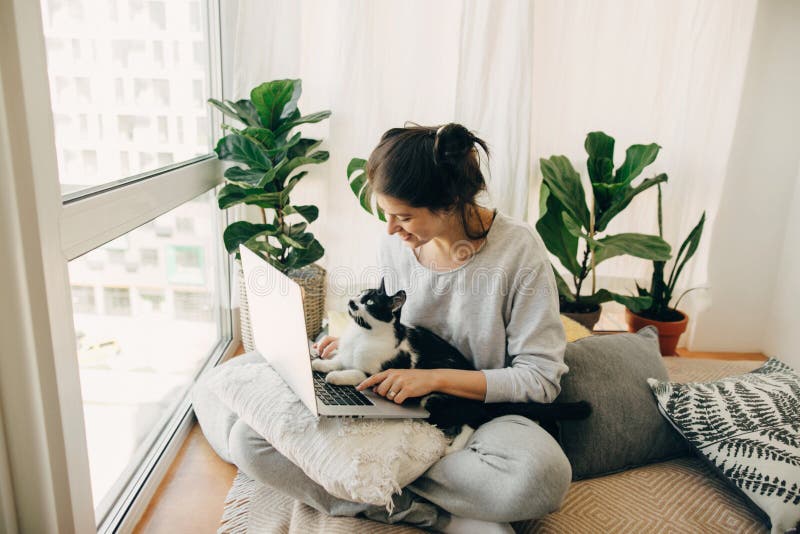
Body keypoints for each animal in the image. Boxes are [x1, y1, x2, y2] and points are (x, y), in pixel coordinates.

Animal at [310, 280, 592, 452]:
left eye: (369, 302)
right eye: (359, 294)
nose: (351, 301)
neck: (361, 334)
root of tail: (483, 402)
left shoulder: (381, 371)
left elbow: (357, 372)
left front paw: (335, 377)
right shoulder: (346, 353)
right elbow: (338, 359)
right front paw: (318, 362)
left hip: (435, 399)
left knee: (472, 422)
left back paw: (452, 448)